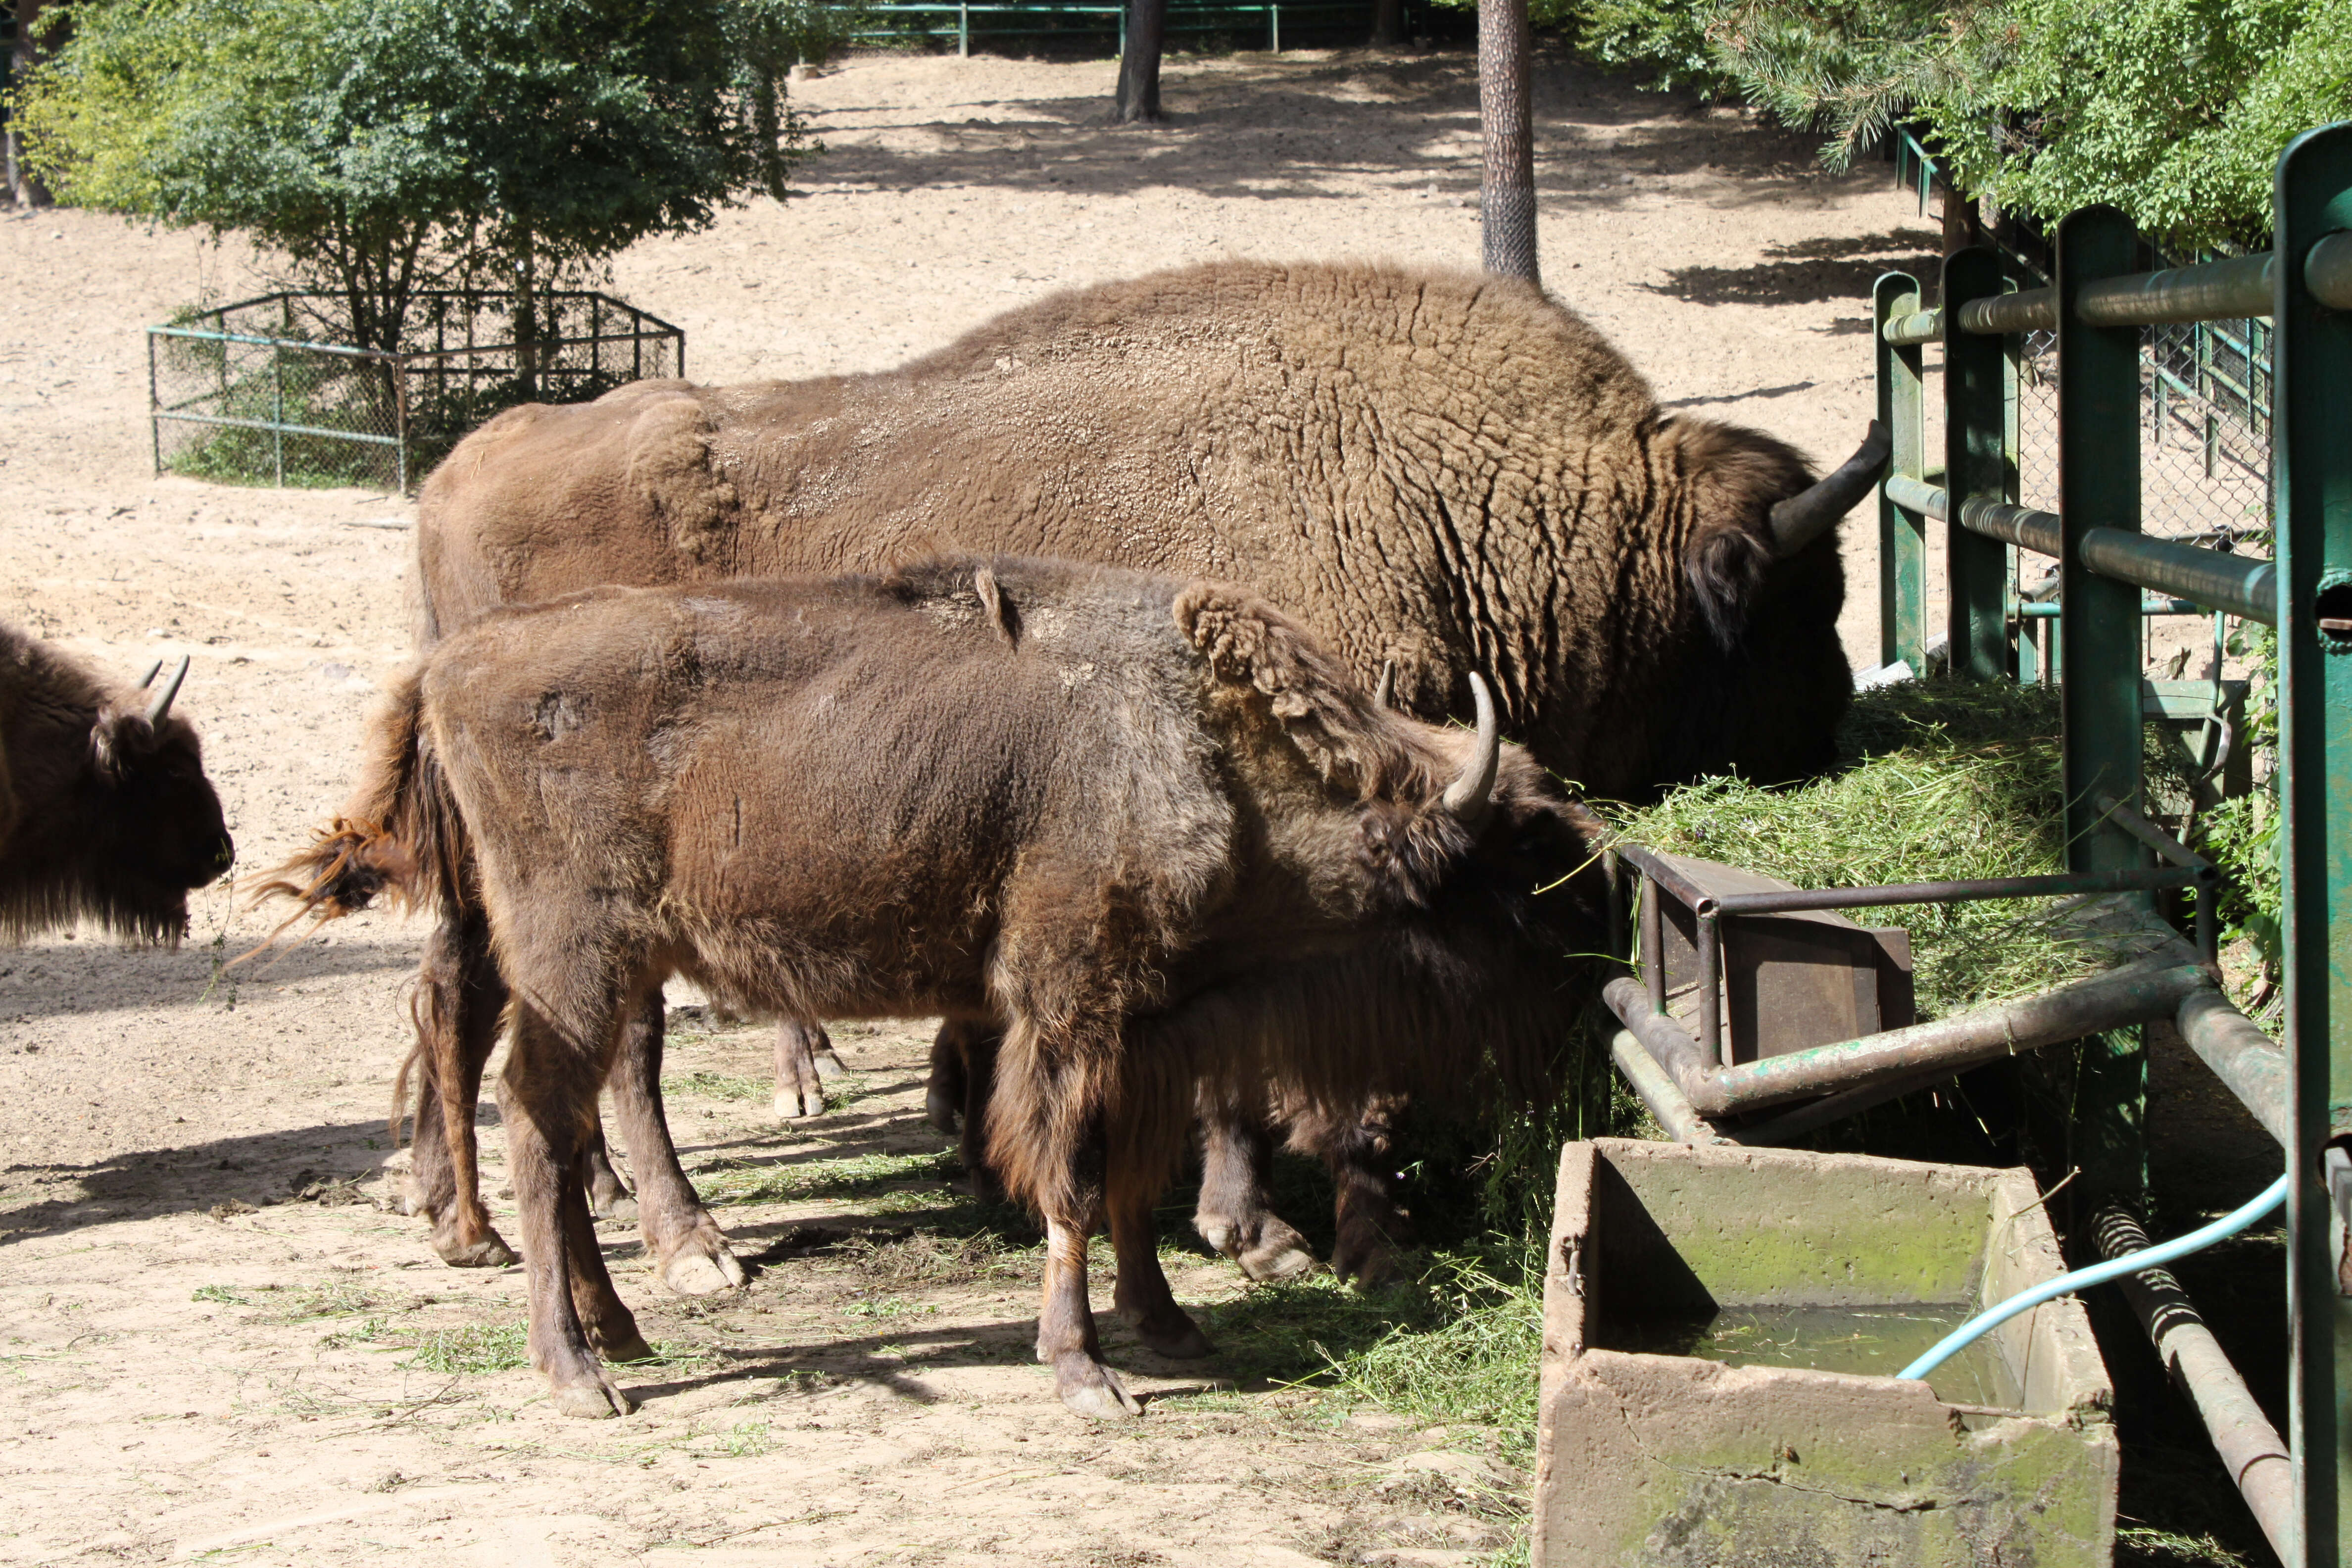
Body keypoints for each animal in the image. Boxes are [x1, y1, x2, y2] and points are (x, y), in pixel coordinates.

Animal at [262, 562, 1618, 1420]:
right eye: (1515, 876)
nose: (1585, 998)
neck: (1205, 755)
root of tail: (443, 669)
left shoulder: (1139, 1028)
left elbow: (1132, 1185)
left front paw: (1170, 1325)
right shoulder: (1068, 1011)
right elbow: (1071, 1183)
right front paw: (1087, 1377)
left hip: (570, 961)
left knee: (542, 1109)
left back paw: (622, 1329)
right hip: (575, 965)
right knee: (542, 1126)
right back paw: (582, 1372)